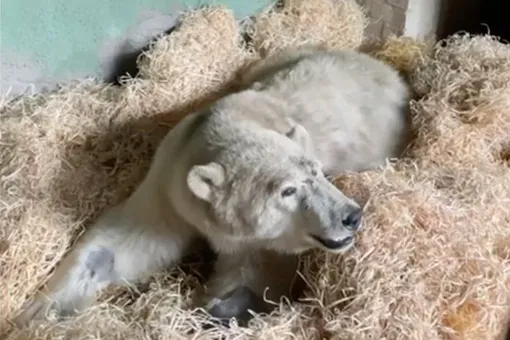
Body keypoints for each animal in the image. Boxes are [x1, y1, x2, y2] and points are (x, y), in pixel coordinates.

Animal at [12, 46, 410, 328]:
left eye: (319, 172)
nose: (351, 216)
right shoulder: (170, 187)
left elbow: (251, 280)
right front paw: (40, 310)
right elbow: (122, 244)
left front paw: (215, 309)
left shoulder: (261, 241)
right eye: (288, 191)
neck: (223, 126)